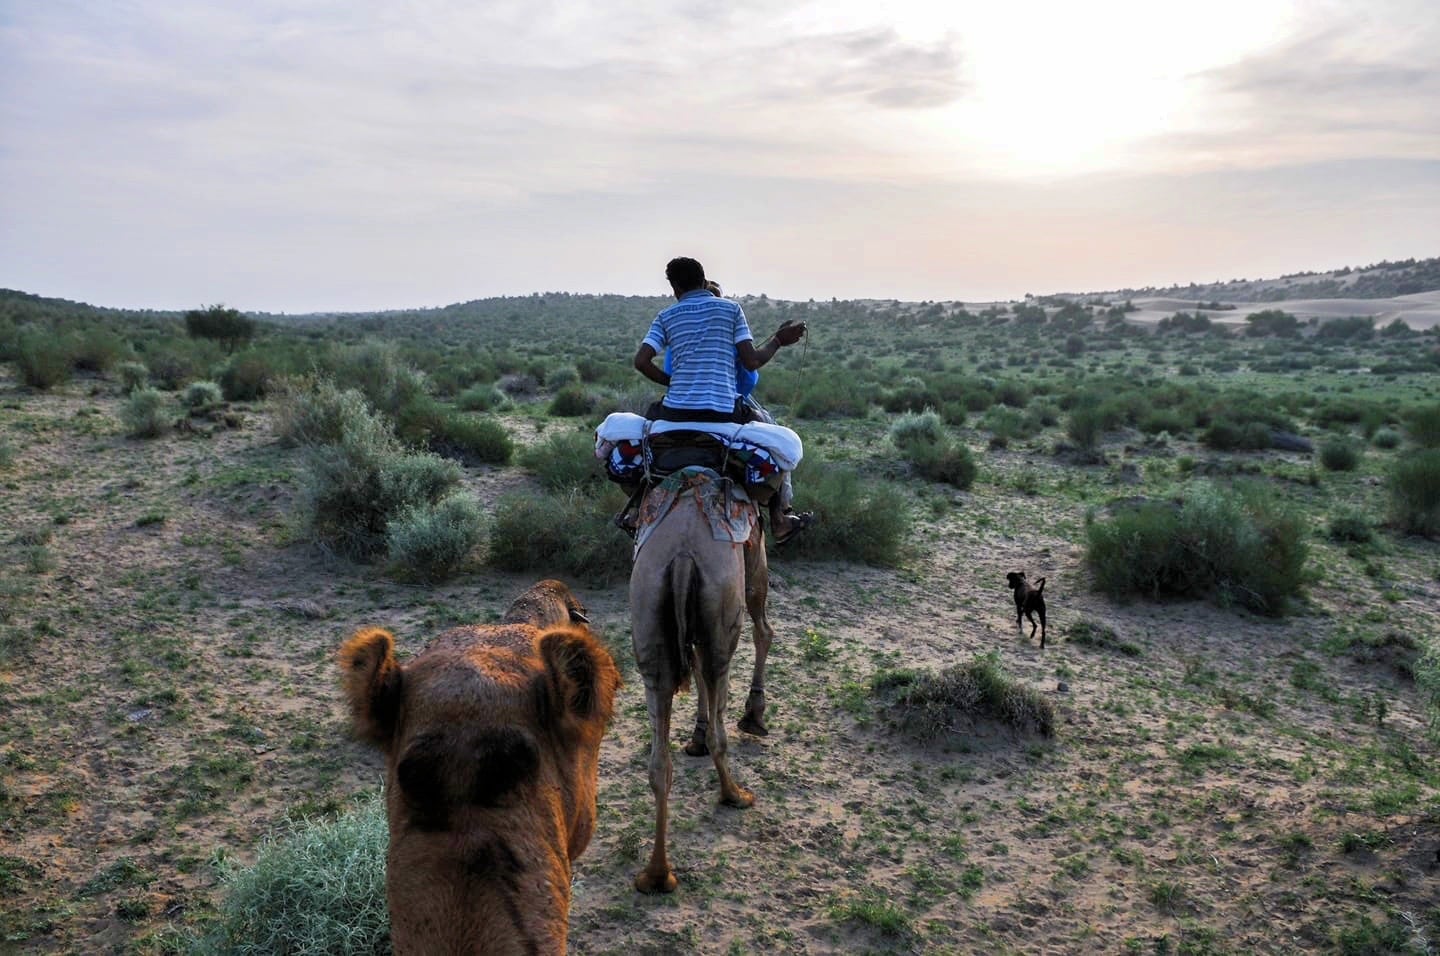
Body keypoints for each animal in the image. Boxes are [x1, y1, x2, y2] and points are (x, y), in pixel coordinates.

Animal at [633, 472, 766, 898]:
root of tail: (682, 558)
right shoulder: (756, 560)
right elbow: (764, 630)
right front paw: (755, 714)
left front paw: (694, 735)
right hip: (723, 613)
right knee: (720, 678)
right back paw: (735, 794)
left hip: (649, 624)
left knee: (659, 762)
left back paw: (656, 875)